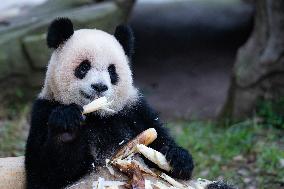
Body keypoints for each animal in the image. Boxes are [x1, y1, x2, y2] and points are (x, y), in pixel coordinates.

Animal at [24, 18, 194, 189]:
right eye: (84, 67)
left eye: (112, 71)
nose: (99, 86)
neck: (97, 116)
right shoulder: (43, 110)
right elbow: (45, 174)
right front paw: (67, 125)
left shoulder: (134, 110)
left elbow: (160, 142)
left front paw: (179, 158)